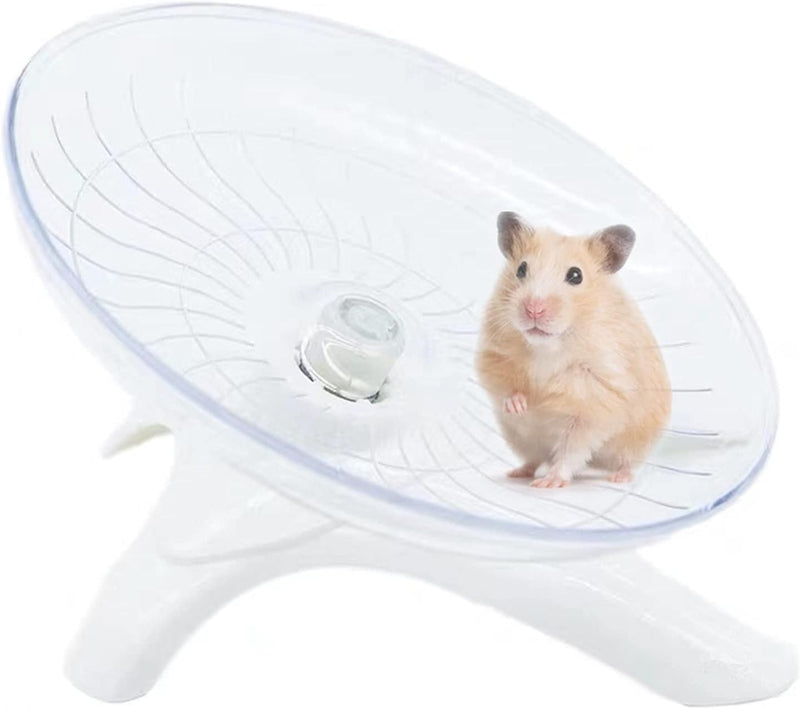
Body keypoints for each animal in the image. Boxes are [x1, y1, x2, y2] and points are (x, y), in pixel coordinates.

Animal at [476, 212, 671, 488]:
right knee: (534, 459)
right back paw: (517, 472)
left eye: (576, 275)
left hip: (634, 444)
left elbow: (572, 447)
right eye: (521, 269)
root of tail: (599, 465)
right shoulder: (493, 355)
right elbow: (505, 386)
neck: (547, 346)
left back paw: (617, 478)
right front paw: (522, 405)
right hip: (521, 439)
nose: (533, 309)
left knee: (621, 462)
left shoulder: (598, 397)